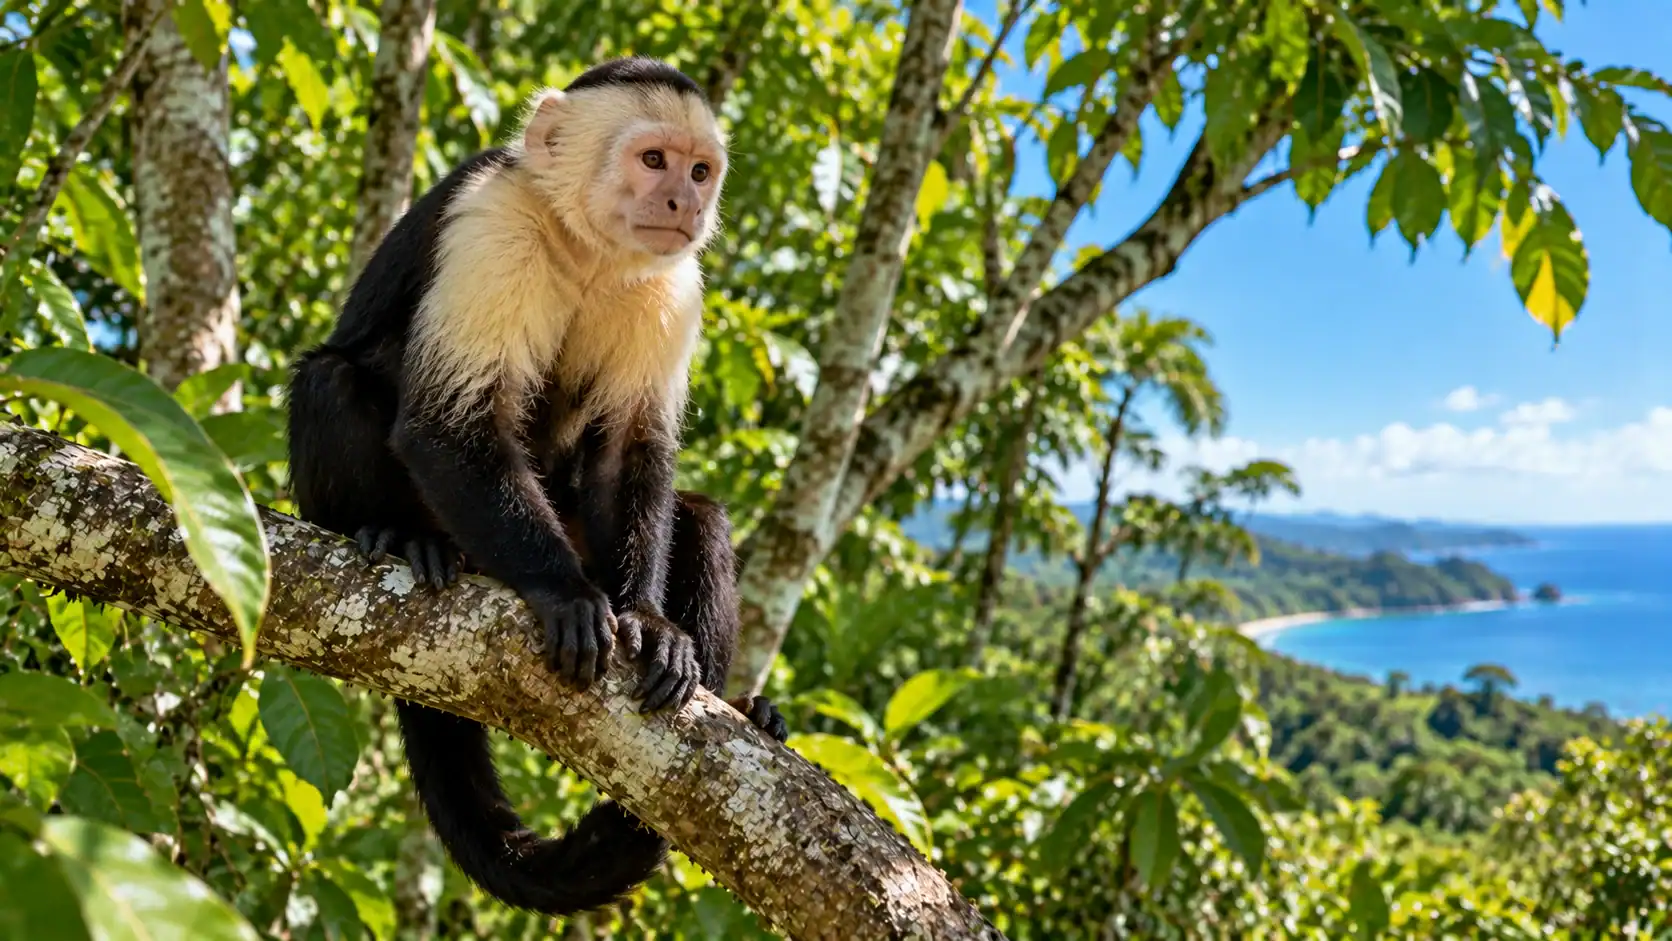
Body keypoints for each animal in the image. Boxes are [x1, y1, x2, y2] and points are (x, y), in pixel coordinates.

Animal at [284, 57, 788, 918]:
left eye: (699, 170)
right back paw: (399, 536)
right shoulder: (492, 217)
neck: (586, 247)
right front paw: (566, 594)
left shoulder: (671, 284)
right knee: (330, 380)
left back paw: (740, 706)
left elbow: (628, 453)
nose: (685, 203)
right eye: (654, 160)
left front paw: (649, 621)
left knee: (702, 521)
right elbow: (448, 426)